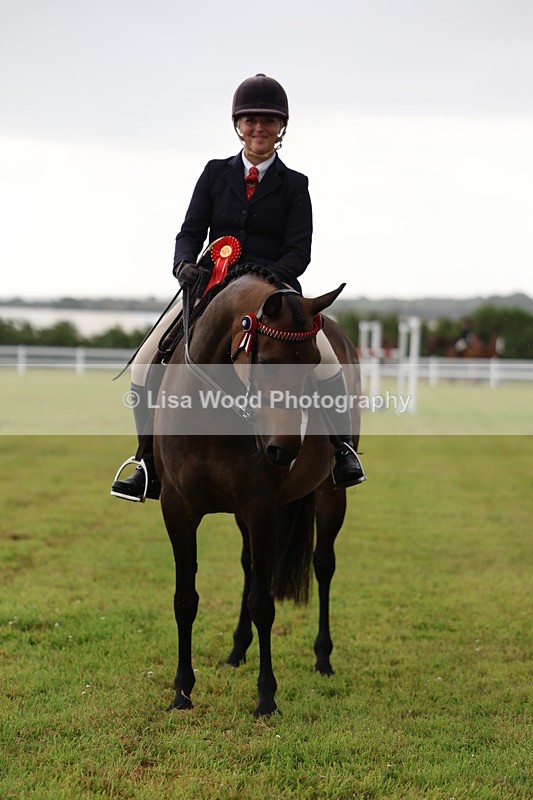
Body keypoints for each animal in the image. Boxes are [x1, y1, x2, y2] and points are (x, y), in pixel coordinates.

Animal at [153, 265, 363, 717]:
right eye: (265, 362)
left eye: (312, 366)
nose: (283, 451)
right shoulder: (177, 508)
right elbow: (185, 599)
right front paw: (182, 692)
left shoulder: (261, 506)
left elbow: (264, 604)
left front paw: (266, 697)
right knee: (250, 567)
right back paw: (236, 652)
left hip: (329, 495)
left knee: (323, 564)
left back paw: (323, 658)